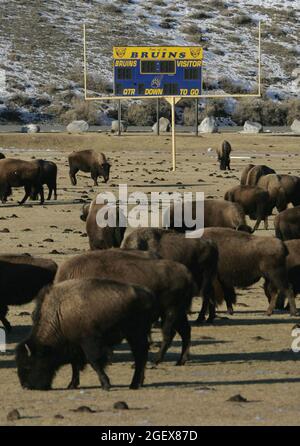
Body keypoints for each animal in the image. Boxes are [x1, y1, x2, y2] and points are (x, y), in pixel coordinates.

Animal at [16, 278, 157, 390]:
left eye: (28, 365)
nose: (26, 386)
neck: (58, 315)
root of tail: (148, 294)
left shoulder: (89, 343)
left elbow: (94, 362)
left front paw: (106, 385)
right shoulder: (75, 347)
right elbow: (75, 365)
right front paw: (71, 385)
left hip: (135, 334)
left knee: (140, 356)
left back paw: (134, 385)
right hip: (135, 335)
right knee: (141, 356)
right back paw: (137, 383)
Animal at [56, 247, 197, 366]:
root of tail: (187, 273)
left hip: (170, 311)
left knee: (169, 333)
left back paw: (156, 360)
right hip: (178, 312)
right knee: (185, 331)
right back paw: (181, 360)